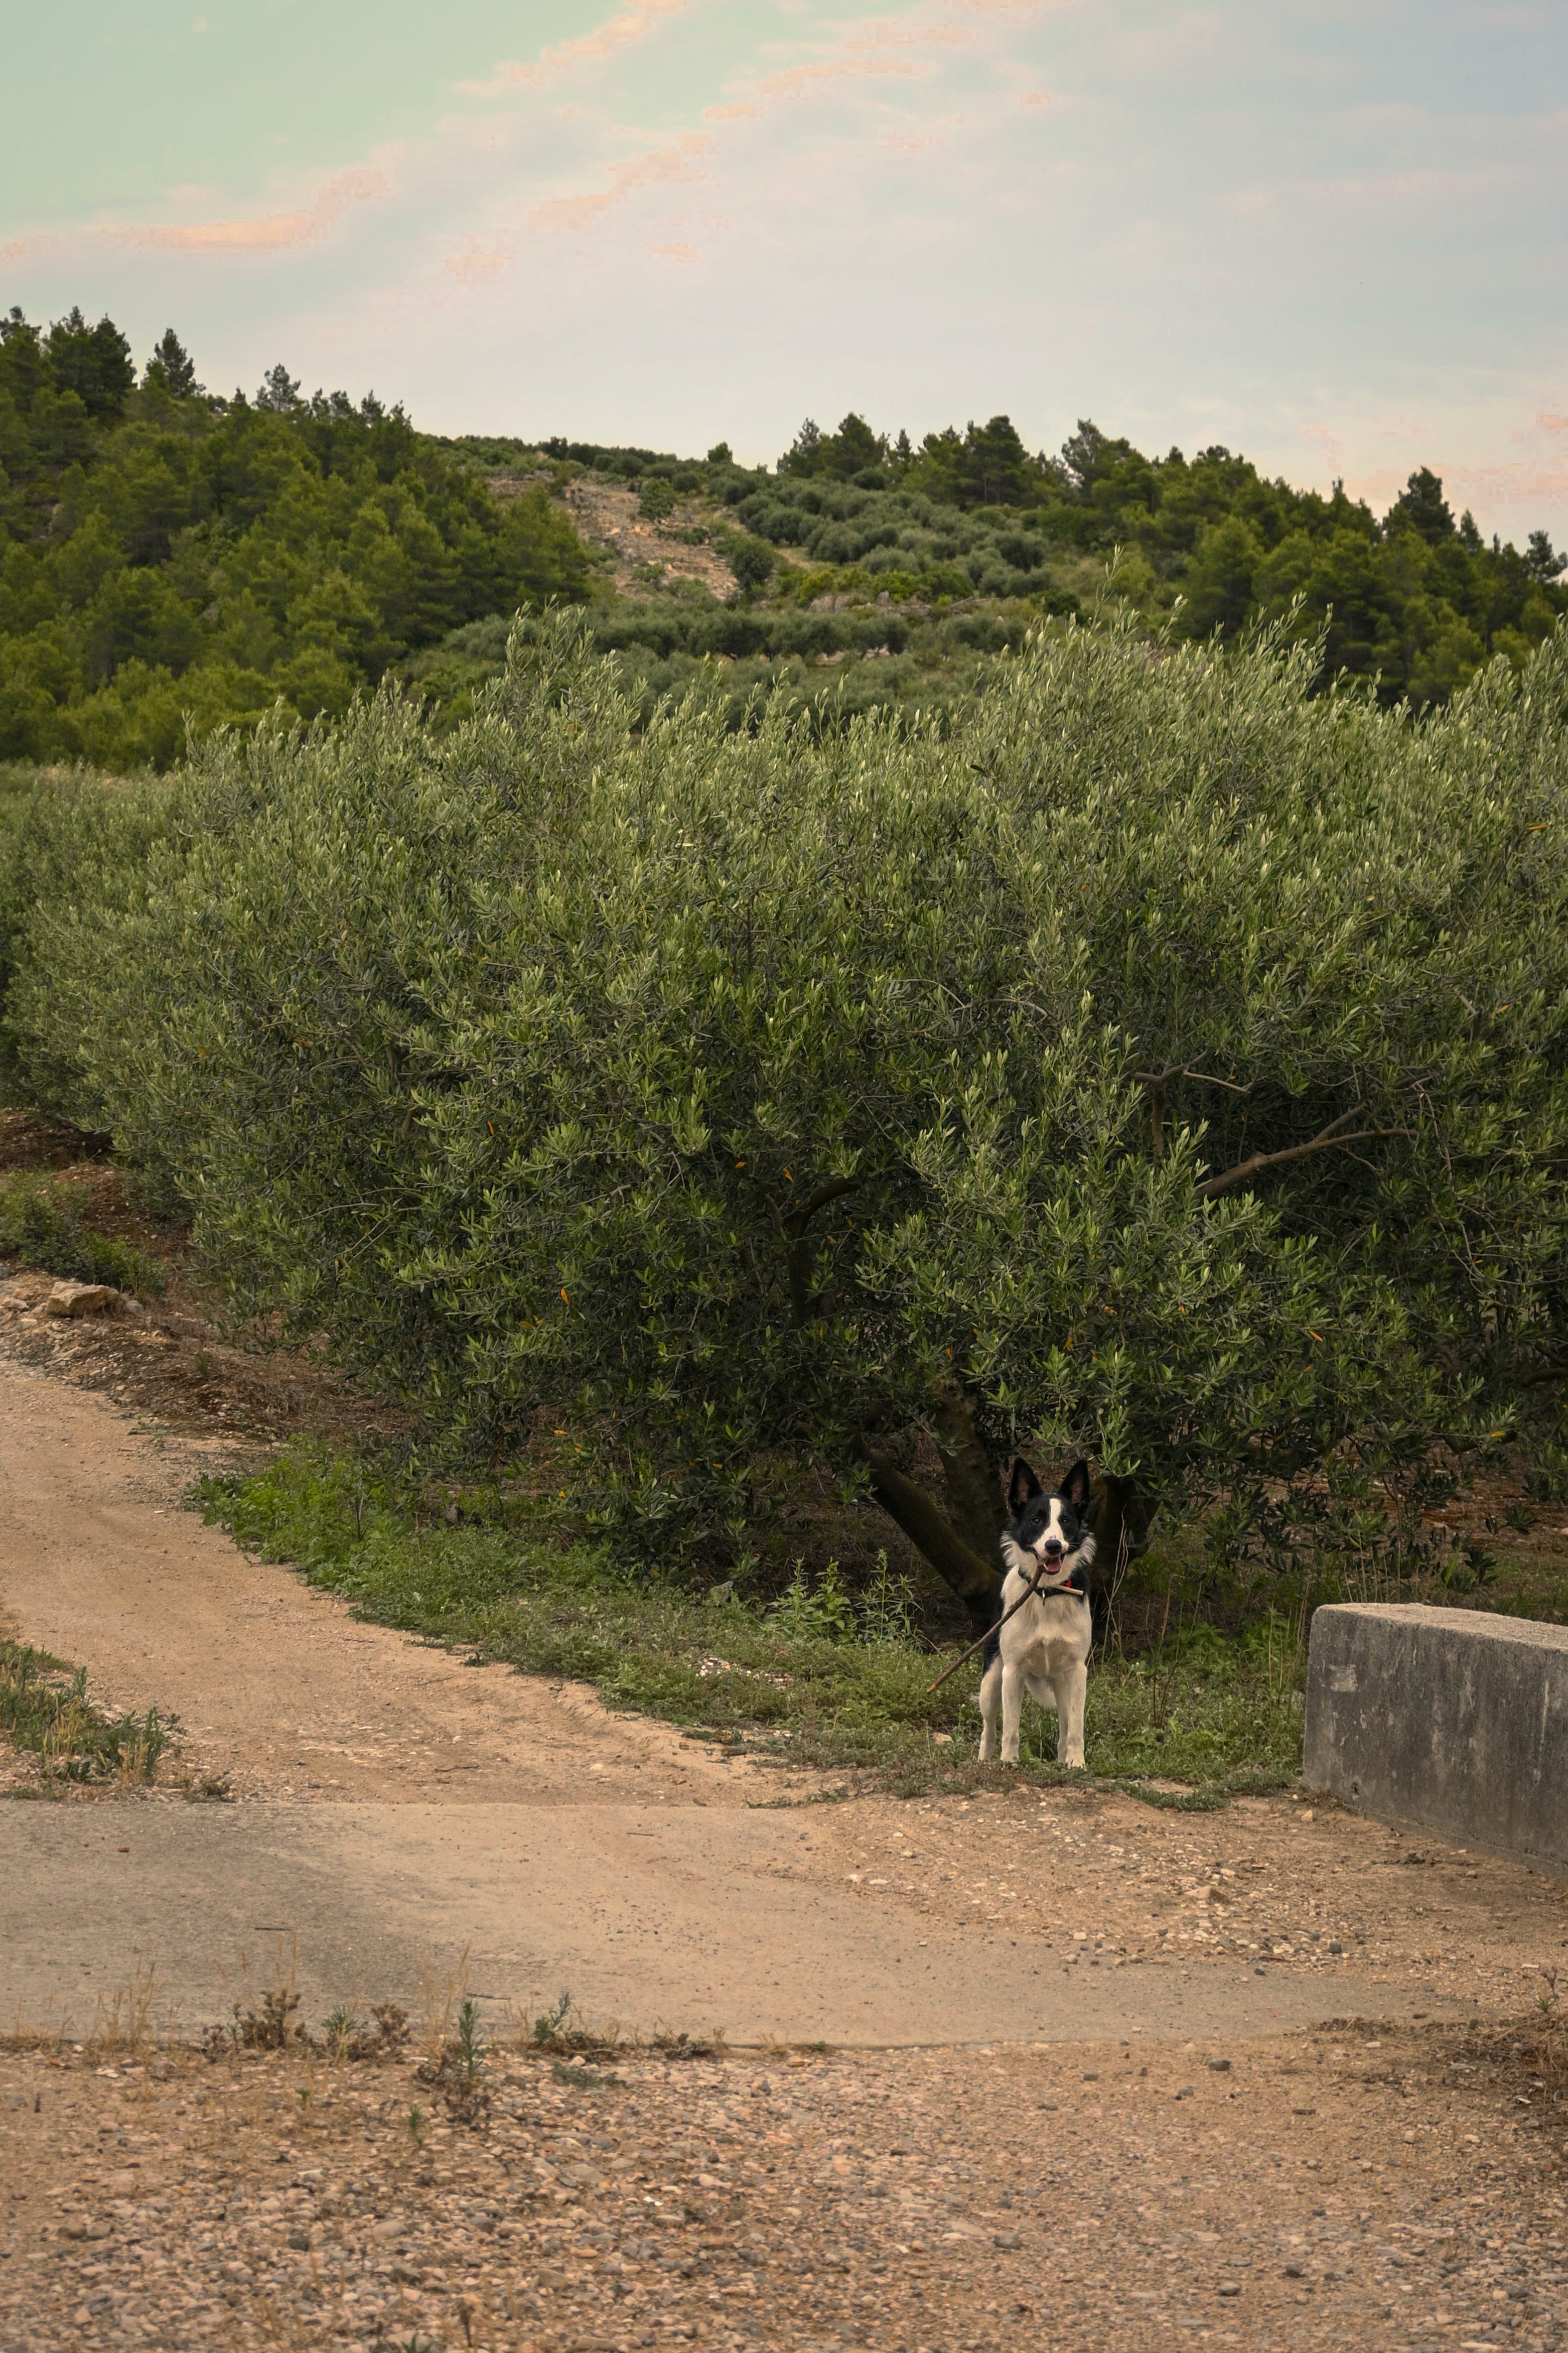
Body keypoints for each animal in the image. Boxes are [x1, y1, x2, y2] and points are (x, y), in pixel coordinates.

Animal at [973, 1449, 1100, 1769]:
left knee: (1065, 1725)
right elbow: (1011, 1728)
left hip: (1061, 1684)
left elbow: (1075, 1728)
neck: (1046, 1593)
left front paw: (1077, 1763)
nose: (1054, 1546)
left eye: (1066, 1520)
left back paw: (1063, 1759)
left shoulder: (1077, 1672)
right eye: (1036, 1520)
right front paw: (1009, 1762)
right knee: (989, 1726)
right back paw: (985, 1759)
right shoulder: (1013, 1671)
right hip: (991, 1682)